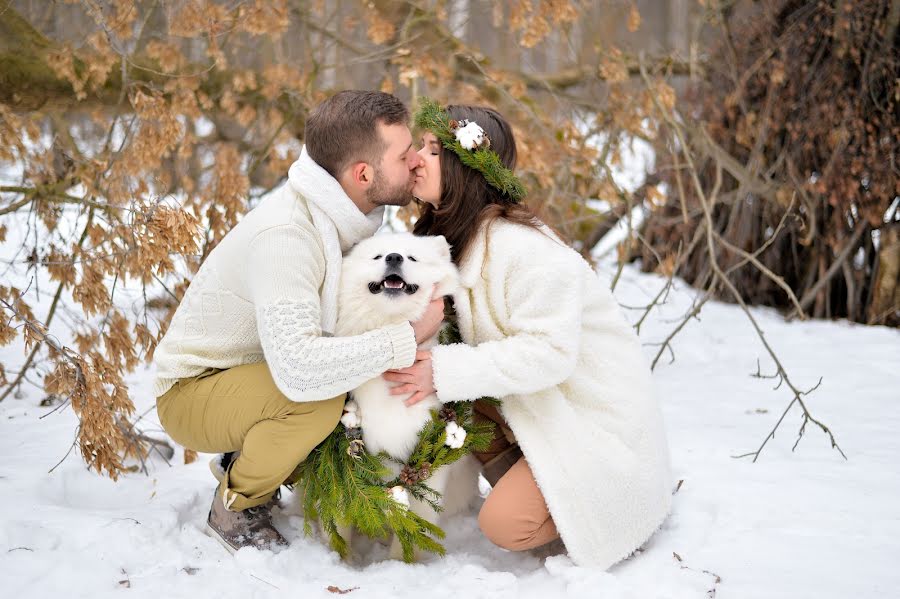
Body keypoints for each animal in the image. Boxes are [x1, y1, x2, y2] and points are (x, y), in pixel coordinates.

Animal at [336, 232, 478, 560]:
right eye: (377, 256)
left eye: (412, 257)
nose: (394, 257)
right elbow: (340, 510)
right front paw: (339, 558)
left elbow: (413, 522)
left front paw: (398, 563)